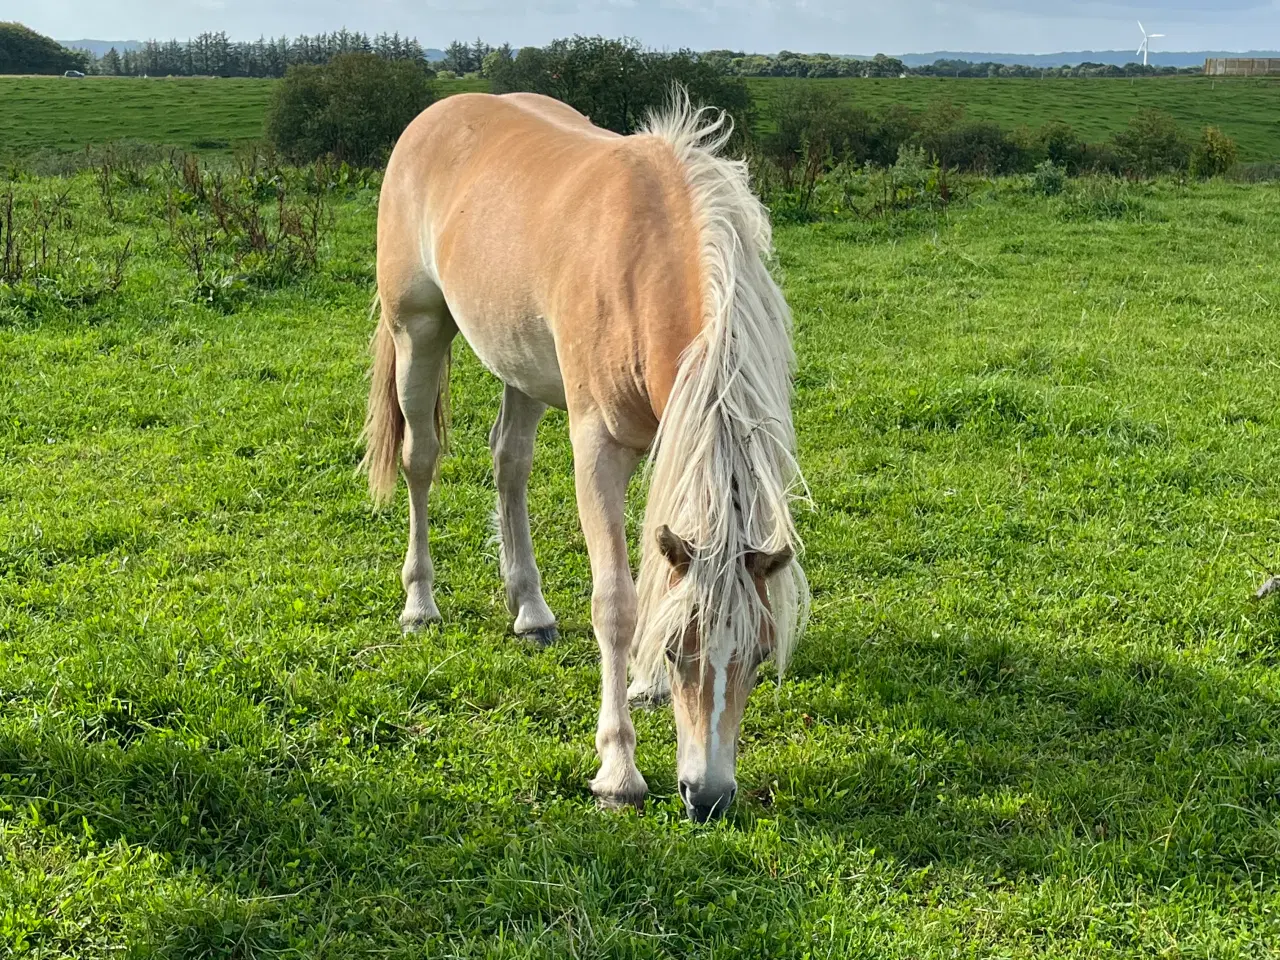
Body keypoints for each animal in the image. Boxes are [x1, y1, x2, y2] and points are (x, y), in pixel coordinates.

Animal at [360, 90, 803, 824]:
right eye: (681, 651)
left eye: (762, 655)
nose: (708, 797)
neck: (648, 261)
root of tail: (435, 115)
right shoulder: (598, 448)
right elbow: (616, 603)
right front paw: (618, 769)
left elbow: (656, 570)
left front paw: (645, 687)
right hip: (417, 331)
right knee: (421, 461)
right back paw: (420, 602)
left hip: (520, 363)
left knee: (508, 464)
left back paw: (531, 611)